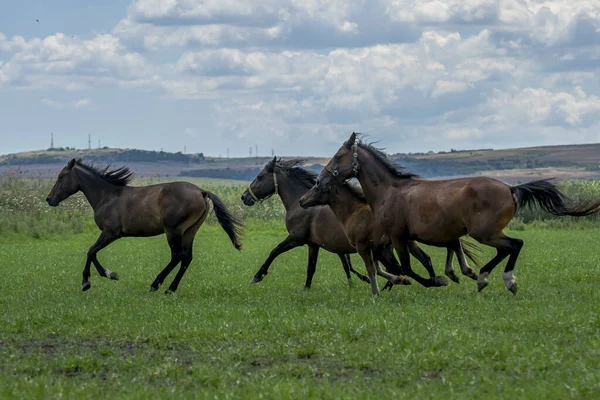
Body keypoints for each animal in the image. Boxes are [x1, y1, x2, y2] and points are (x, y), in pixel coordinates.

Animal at [47, 158, 243, 292]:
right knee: (186, 258)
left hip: (173, 231)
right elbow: (92, 252)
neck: (107, 196)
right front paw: (107, 275)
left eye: (61, 177)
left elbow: (91, 251)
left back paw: (155, 284)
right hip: (190, 231)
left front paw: (91, 280)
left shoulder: (110, 233)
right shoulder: (110, 234)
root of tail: (201, 192)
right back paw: (170, 289)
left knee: (177, 256)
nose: (49, 199)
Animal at [241, 157, 414, 290]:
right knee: (394, 268)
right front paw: (306, 289)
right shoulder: (313, 244)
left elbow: (274, 251)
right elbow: (311, 267)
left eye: (260, 176)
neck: (300, 205)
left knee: (394, 268)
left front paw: (257, 276)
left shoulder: (296, 238)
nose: (244, 197)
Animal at [300, 180, 482, 292]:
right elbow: (385, 268)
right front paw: (398, 281)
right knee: (445, 247)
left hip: (424, 238)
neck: (354, 212)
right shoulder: (378, 248)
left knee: (451, 244)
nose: (302, 200)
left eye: (317, 187)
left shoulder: (364, 247)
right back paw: (450, 275)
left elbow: (378, 269)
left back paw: (454, 274)